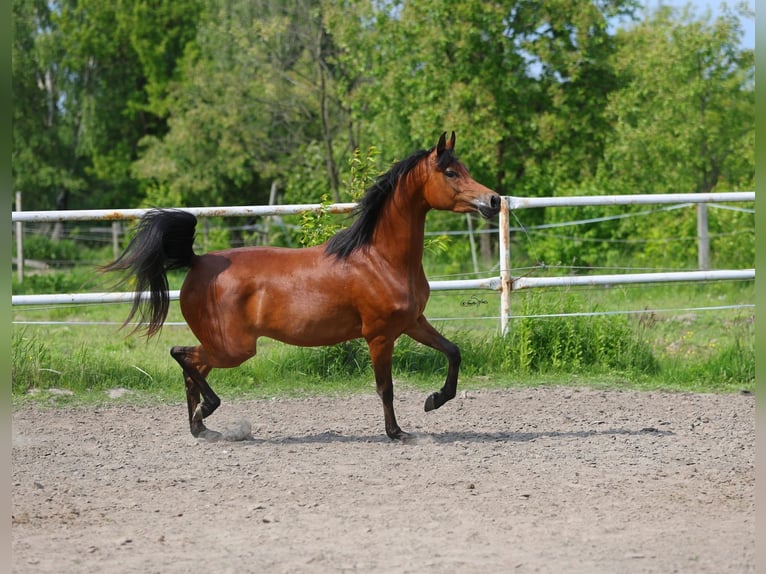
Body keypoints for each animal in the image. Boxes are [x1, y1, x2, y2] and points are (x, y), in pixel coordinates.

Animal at [103, 132, 501, 441]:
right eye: (450, 172)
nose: (494, 200)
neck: (380, 259)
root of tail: (197, 261)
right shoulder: (380, 335)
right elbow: (385, 388)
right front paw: (397, 433)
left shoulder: (412, 323)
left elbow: (453, 352)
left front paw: (434, 400)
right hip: (234, 348)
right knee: (181, 355)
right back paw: (208, 412)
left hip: (224, 346)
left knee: (191, 368)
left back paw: (202, 428)